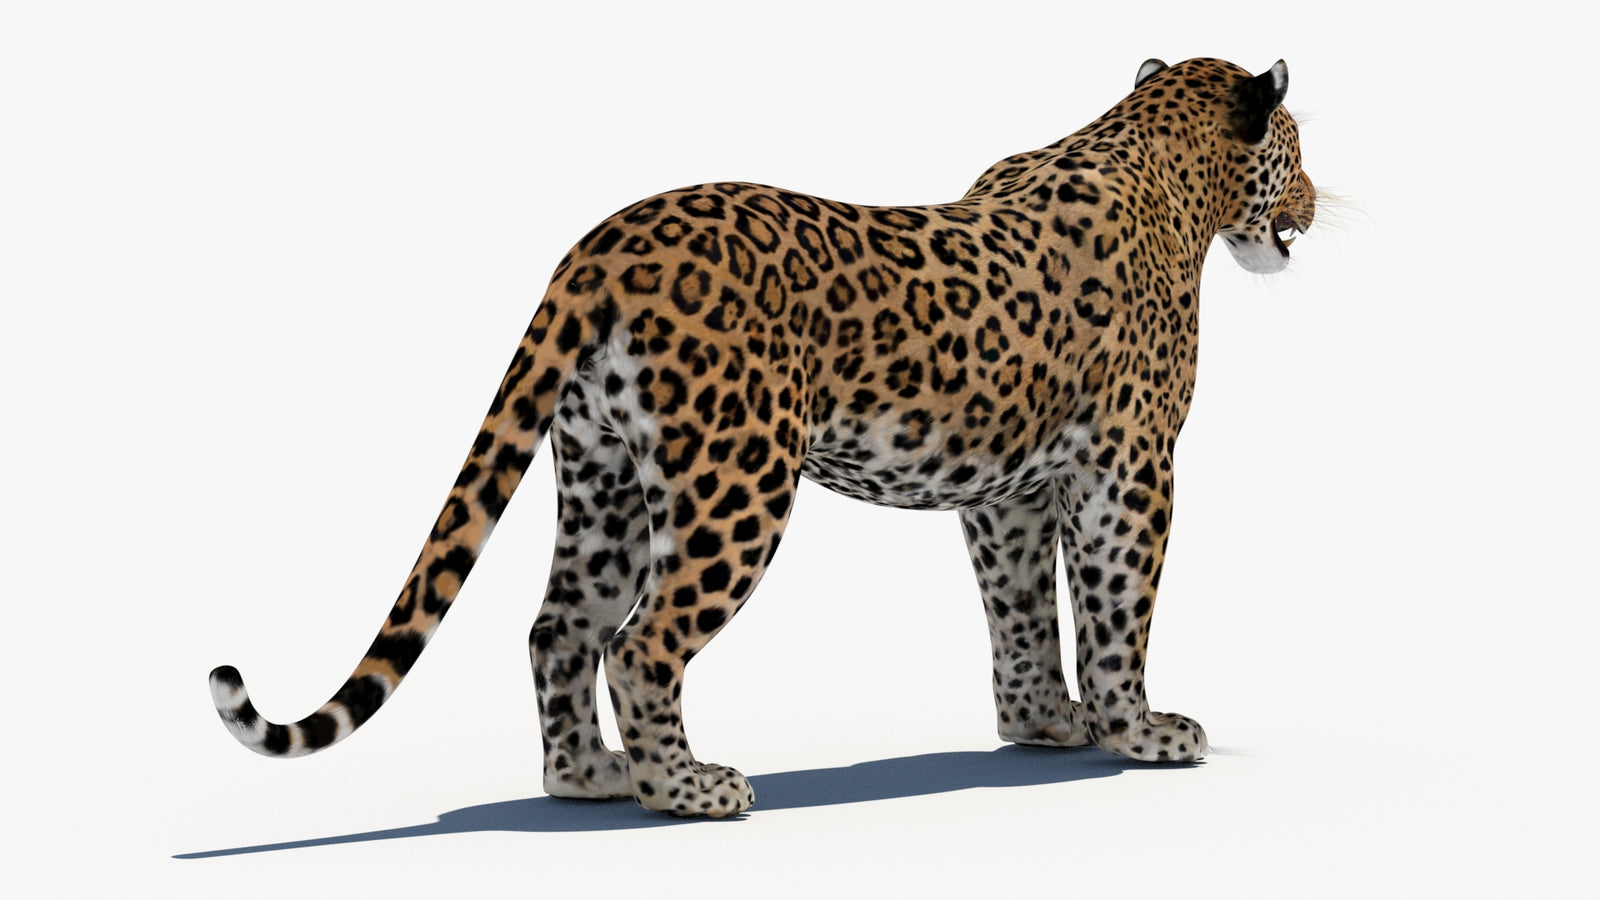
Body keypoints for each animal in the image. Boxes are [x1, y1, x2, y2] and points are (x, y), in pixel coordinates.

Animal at [210, 57, 1316, 818]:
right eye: (1296, 151)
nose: (1312, 200)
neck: (1162, 161)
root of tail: (598, 247)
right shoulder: (1131, 469)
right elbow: (1118, 608)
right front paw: (1140, 731)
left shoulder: (1007, 492)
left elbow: (1019, 611)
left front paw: (1044, 724)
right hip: (732, 484)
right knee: (640, 642)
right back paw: (685, 789)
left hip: (603, 474)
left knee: (559, 627)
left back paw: (589, 776)